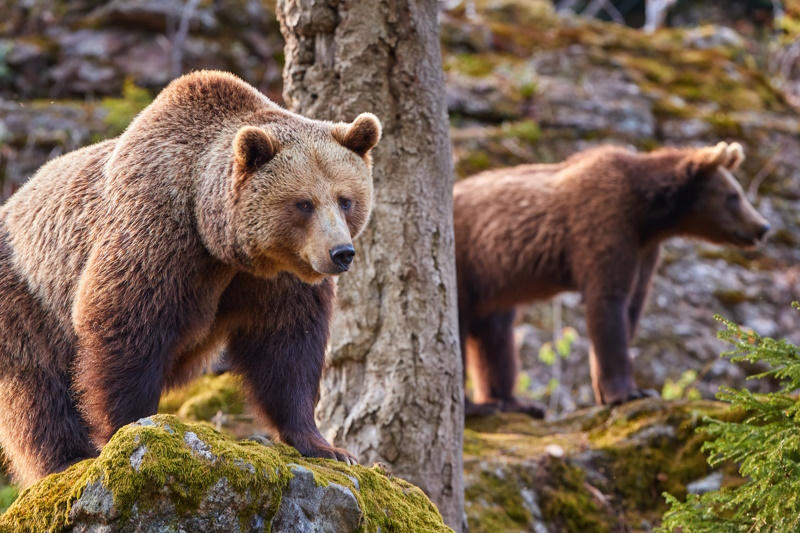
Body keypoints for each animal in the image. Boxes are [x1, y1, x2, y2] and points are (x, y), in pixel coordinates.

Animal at [0, 70, 382, 486]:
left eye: (345, 199)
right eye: (303, 203)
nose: (340, 253)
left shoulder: (276, 278)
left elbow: (288, 346)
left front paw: (327, 447)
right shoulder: (158, 239)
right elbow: (127, 329)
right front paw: (128, 430)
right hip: (27, 307)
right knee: (38, 396)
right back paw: (65, 460)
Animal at [460, 141, 772, 416]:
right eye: (733, 196)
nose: (763, 226)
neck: (650, 218)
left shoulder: (644, 250)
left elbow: (632, 306)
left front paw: (611, 391)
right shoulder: (604, 225)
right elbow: (609, 302)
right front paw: (629, 392)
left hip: (493, 288)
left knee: (495, 337)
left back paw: (515, 403)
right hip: (468, 266)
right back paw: (475, 407)